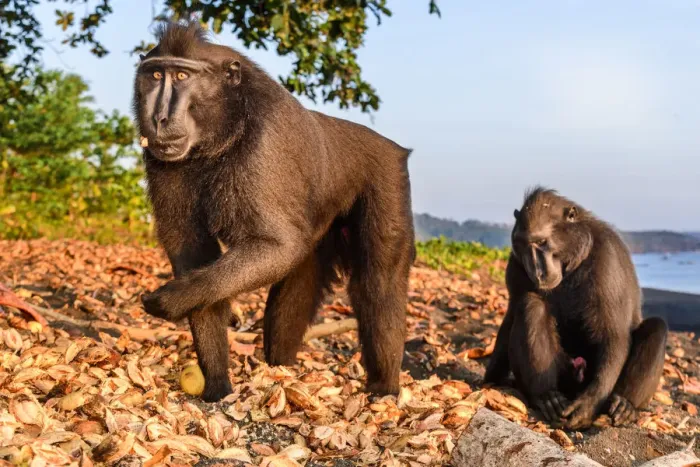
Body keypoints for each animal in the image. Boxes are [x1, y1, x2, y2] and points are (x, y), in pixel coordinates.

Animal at [131, 21, 416, 402]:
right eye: (155, 75)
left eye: (181, 75)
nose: (159, 118)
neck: (223, 132)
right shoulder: (163, 160)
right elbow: (196, 254)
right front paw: (218, 385)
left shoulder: (263, 146)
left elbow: (278, 248)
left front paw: (171, 300)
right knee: (300, 276)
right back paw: (280, 367)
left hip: (389, 178)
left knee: (378, 281)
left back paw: (384, 388)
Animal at [483, 187, 668, 430]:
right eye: (523, 244)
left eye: (542, 242)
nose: (538, 272)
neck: (574, 259)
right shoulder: (516, 262)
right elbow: (513, 311)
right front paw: (492, 378)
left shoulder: (607, 258)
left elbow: (614, 335)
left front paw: (588, 404)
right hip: (566, 375)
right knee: (531, 305)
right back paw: (547, 396)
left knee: (657, 327)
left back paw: (626, 404)